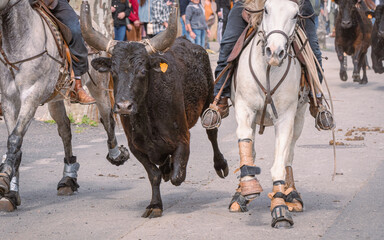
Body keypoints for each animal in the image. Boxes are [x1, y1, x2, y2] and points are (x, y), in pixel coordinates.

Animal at [91, 39, 230, 218]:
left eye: (143, 71)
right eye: (113, 72)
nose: (124, 106)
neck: (147, 121)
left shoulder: (183, 139)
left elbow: (177, 176)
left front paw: (170, 171)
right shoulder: (135, 147)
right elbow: (154, 175)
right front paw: (155, 205)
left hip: (209, 100)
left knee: (212, 134)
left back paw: (220, 165)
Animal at [230, 0, 308, 229]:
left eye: (295, 15)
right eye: (266, 9)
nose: (274, 51)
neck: (268, 70)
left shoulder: (286, 117)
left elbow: (280, 163)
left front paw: (280, 207)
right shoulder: (244, 108)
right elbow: (245, 143)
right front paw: (247, 187)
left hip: (299, 118)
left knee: (289, 155)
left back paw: (292, 196)